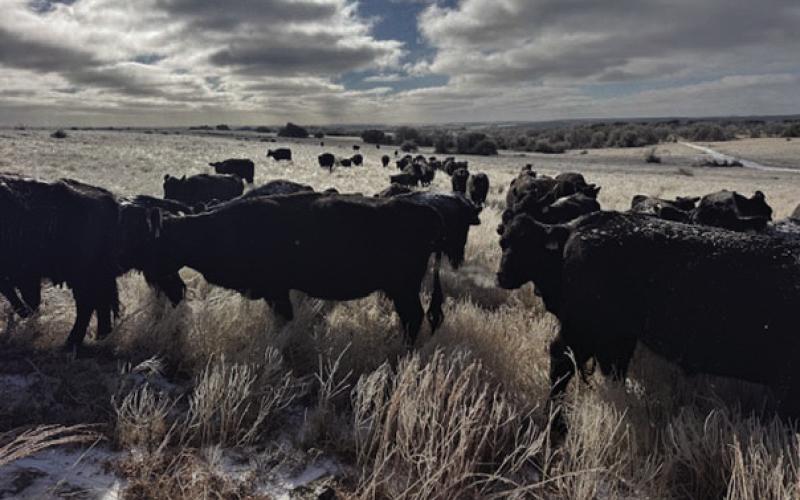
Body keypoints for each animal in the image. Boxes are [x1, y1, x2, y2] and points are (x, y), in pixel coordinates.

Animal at [141, 193, 447, 345]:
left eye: (160, 243)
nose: (153, 276)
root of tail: (427, 212)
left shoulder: (277, 291)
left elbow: (284, 320)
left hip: (404, 288)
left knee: (414, 317)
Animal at [497, 211, 800, 431]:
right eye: (503, 243)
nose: (500, 276)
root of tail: (579, 227)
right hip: (584, 328)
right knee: (562, 361)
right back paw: (557, 422)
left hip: (612, 334)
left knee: (607, 368)